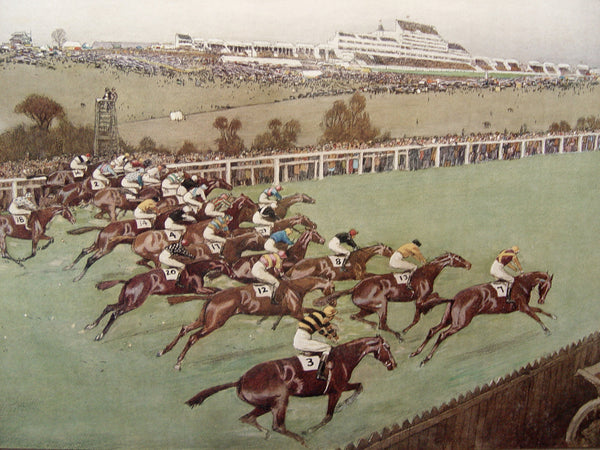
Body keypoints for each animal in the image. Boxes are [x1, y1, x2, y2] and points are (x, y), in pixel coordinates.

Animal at [85, 257, 236, 341]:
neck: (196, 269)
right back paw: (100, 335)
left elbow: (215, 289)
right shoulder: (198, 289)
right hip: (134, 303)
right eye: (228, 266)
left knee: (109, 307)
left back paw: (92, 325)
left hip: (125, 300)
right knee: (115, 313)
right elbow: (214, 290)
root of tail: (129, 281)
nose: (234, 275)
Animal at [158, 276, 336, 370]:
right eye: (333, 288)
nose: (333, 302)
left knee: (184, 329)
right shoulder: (296, 312)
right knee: (193, 337)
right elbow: (314, 316)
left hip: (204, 320)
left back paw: (164, 350)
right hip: (214, 323)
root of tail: (214, 296)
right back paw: (178, 362)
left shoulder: (294, 311)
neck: (296, 287)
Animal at [184, 335, 396, 446]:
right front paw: (311, 429)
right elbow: (330, 415)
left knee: (247, 417)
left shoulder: (338, 388)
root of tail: (241, 379)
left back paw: (265, 434)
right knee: (277, 426)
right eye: (387, 347)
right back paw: (300, 440)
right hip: (280, 399)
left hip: (266, 404)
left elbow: (358, 387)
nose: (393, 364)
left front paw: (344, 405)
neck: (343, 357)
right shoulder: (337, 389)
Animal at [314, 252, 472, 341]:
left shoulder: (421, 299)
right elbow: (424, 310)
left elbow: (433, 299)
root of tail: (356, 287)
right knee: (382, 324)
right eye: (458, 258)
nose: (469, 264)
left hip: (368, 308)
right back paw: (396, 334)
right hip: (381, 304)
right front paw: (405, 330)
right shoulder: (420, 300)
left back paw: (373, 325)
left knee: (356, 316)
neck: (426, 273)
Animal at [410, 271, 554, 366]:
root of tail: (455, 297)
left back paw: (416, 353)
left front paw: (553, 316)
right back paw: (426, 358)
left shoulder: (523, 307)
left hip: (448, 320)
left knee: (433, 330)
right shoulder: (523, 307)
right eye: (546, 286)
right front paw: (547, 329)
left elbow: (538, 311)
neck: (523, 283)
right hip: (461, 323)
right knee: (442, 335)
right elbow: (536, 316)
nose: (541, 300)